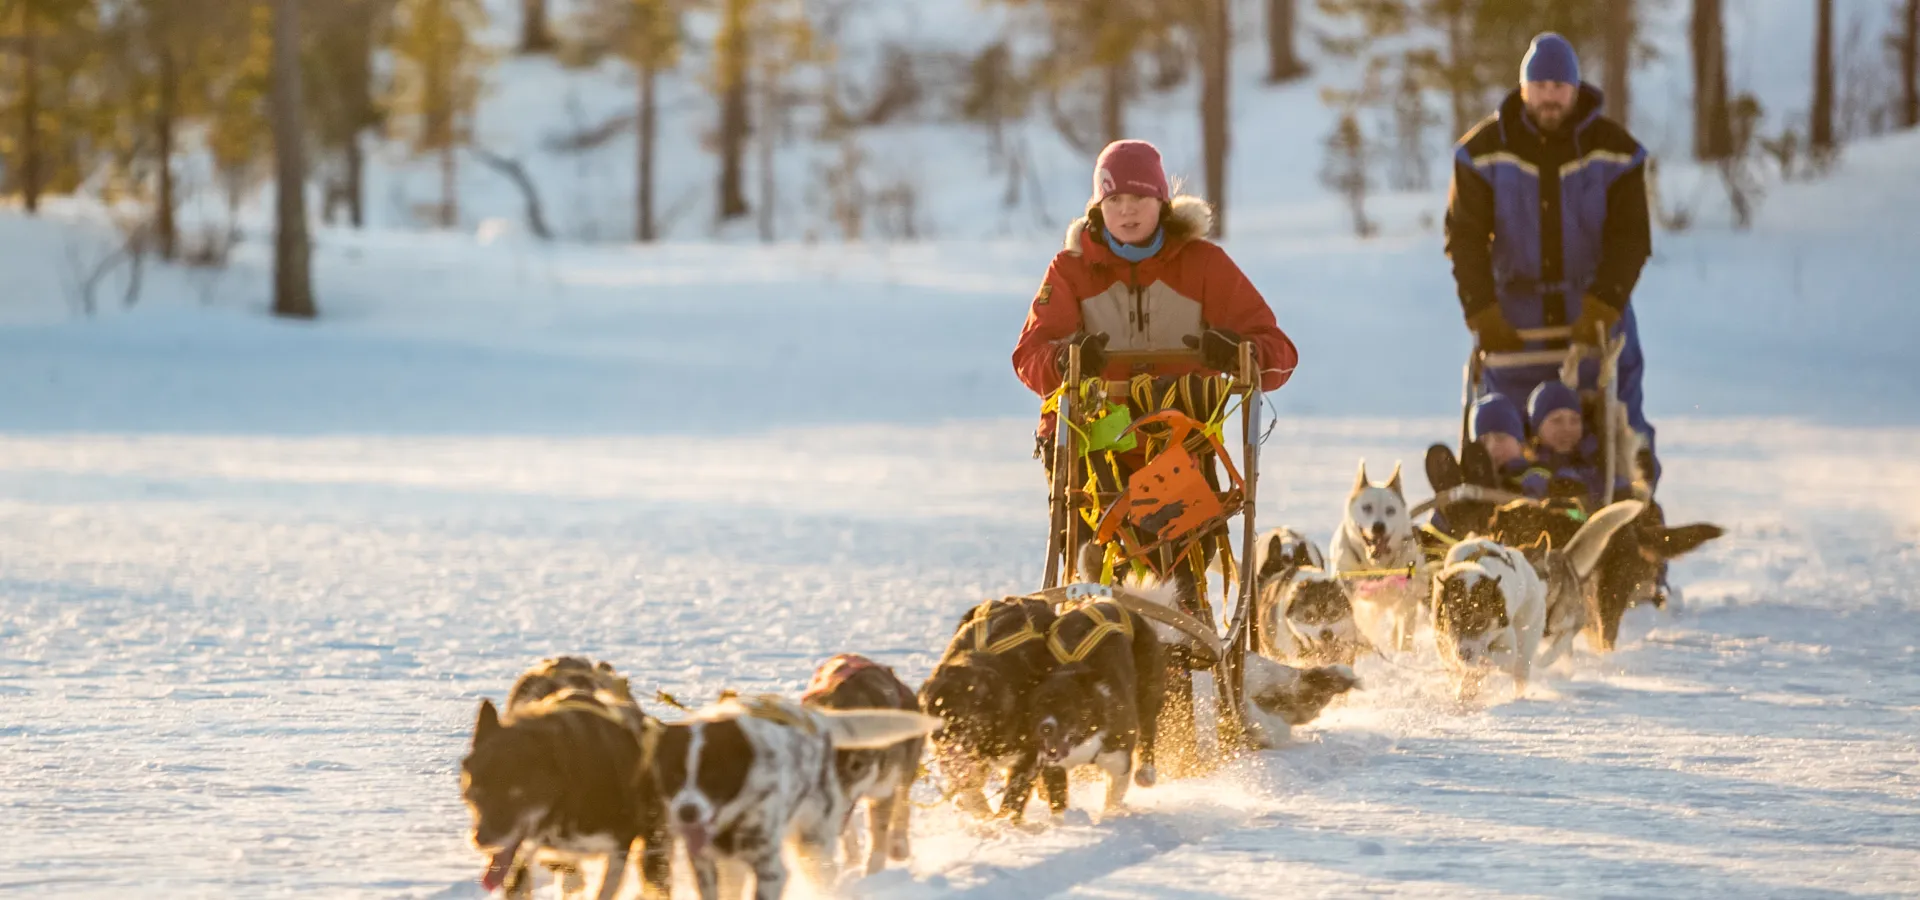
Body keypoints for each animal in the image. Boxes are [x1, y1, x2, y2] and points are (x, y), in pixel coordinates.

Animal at [648, 694, 940, 898]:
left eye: (713, 774)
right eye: (673, 774)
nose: (687, 812)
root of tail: (815, 717)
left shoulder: (771, 869)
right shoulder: (706, 865)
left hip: (812, 843)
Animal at [798, 652, 925, 878]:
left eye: (856, 766)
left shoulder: (883, 790)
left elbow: (878, 839)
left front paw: (872, 876)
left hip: (905, 768)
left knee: (903, 802)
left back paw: (899, 845)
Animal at [998, 594, 1159, 821]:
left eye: (1067, 709)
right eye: (1037, 708)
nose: (1045, 728)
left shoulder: (1118, 758)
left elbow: (1114, 795)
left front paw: (1111, 816)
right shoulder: (1053, 766)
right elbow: (1058, 799)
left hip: (1149, 690)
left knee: (1148, 730)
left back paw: (1146, 771)